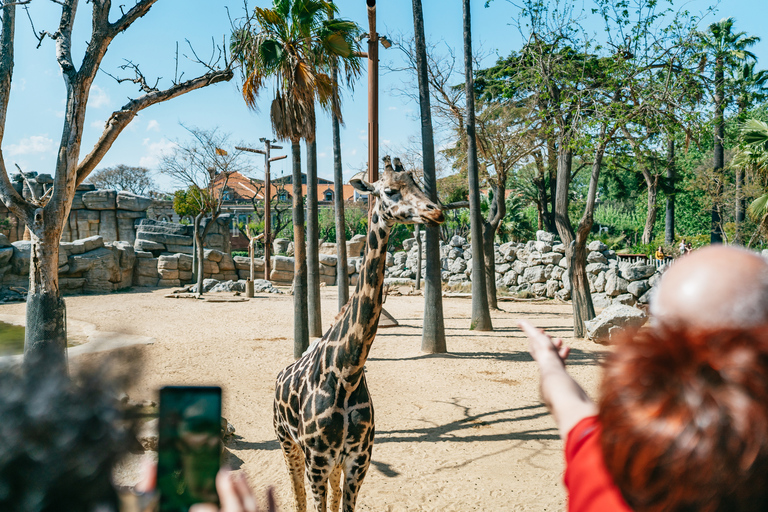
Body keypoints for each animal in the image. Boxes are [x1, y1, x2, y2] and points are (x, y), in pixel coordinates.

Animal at [274, 157, 444, 512]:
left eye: (418, 184)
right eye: (390, 190)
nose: (436, 212)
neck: (347, 372)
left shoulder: (358, 461)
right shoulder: (317, 461)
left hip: (333, 463)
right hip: (287, 443)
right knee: (296, 493)